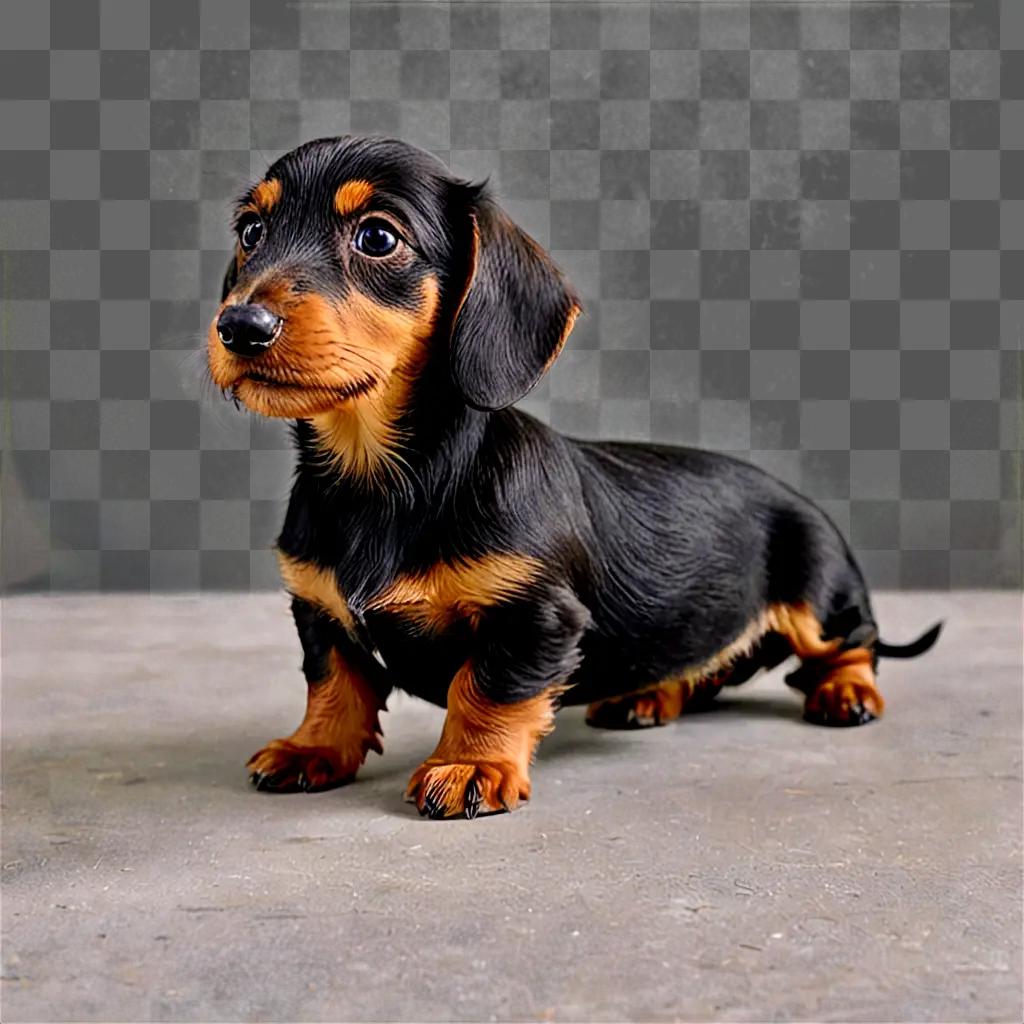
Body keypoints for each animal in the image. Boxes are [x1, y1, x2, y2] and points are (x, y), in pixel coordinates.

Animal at [207, 138, 942, 823]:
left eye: (378, 237)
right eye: (252, 232)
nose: (238, 325)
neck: (385, 480)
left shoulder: (535, 616)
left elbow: (487, 688)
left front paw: (470, 766)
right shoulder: (317, 609)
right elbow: (334, 684)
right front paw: (312, 749)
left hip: (819, 596)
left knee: (853, 645)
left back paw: (846, 693)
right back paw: (645, 696)